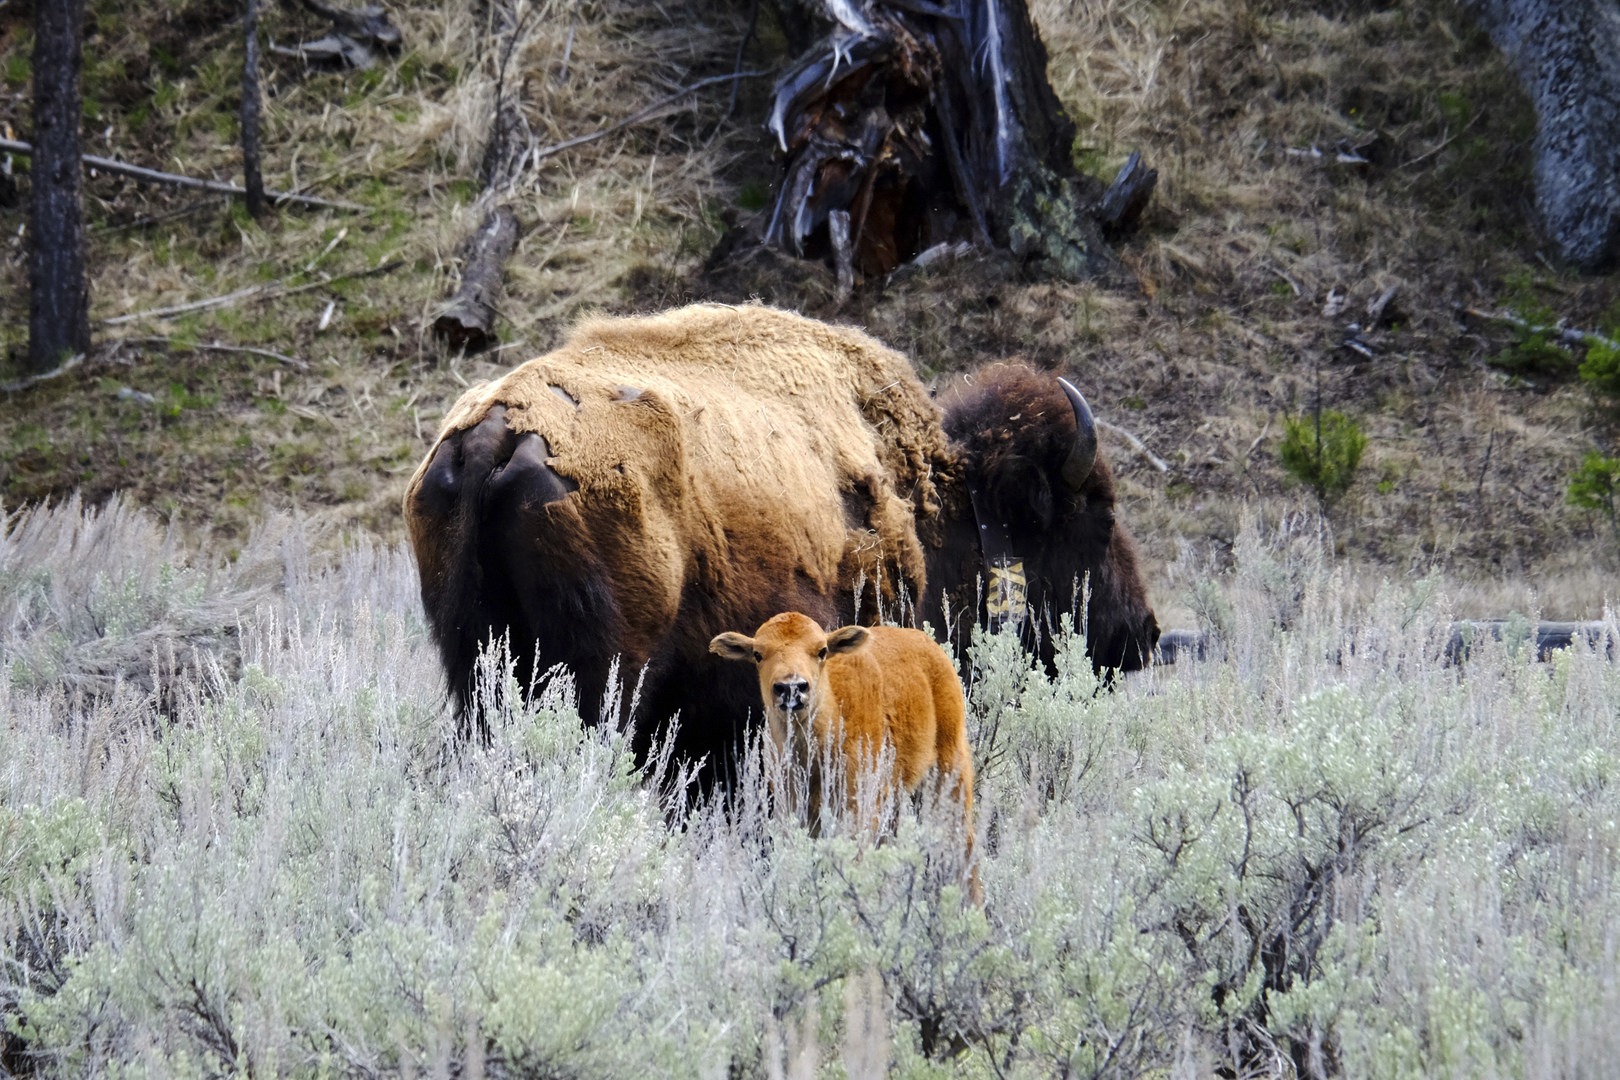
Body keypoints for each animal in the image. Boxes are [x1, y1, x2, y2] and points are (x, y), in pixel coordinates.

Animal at [408, 304, 1166, 777]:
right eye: (1096, 515)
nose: (1142, 633)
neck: (944, 500)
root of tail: (496, 432)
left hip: (472, 662)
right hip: (604, 677)